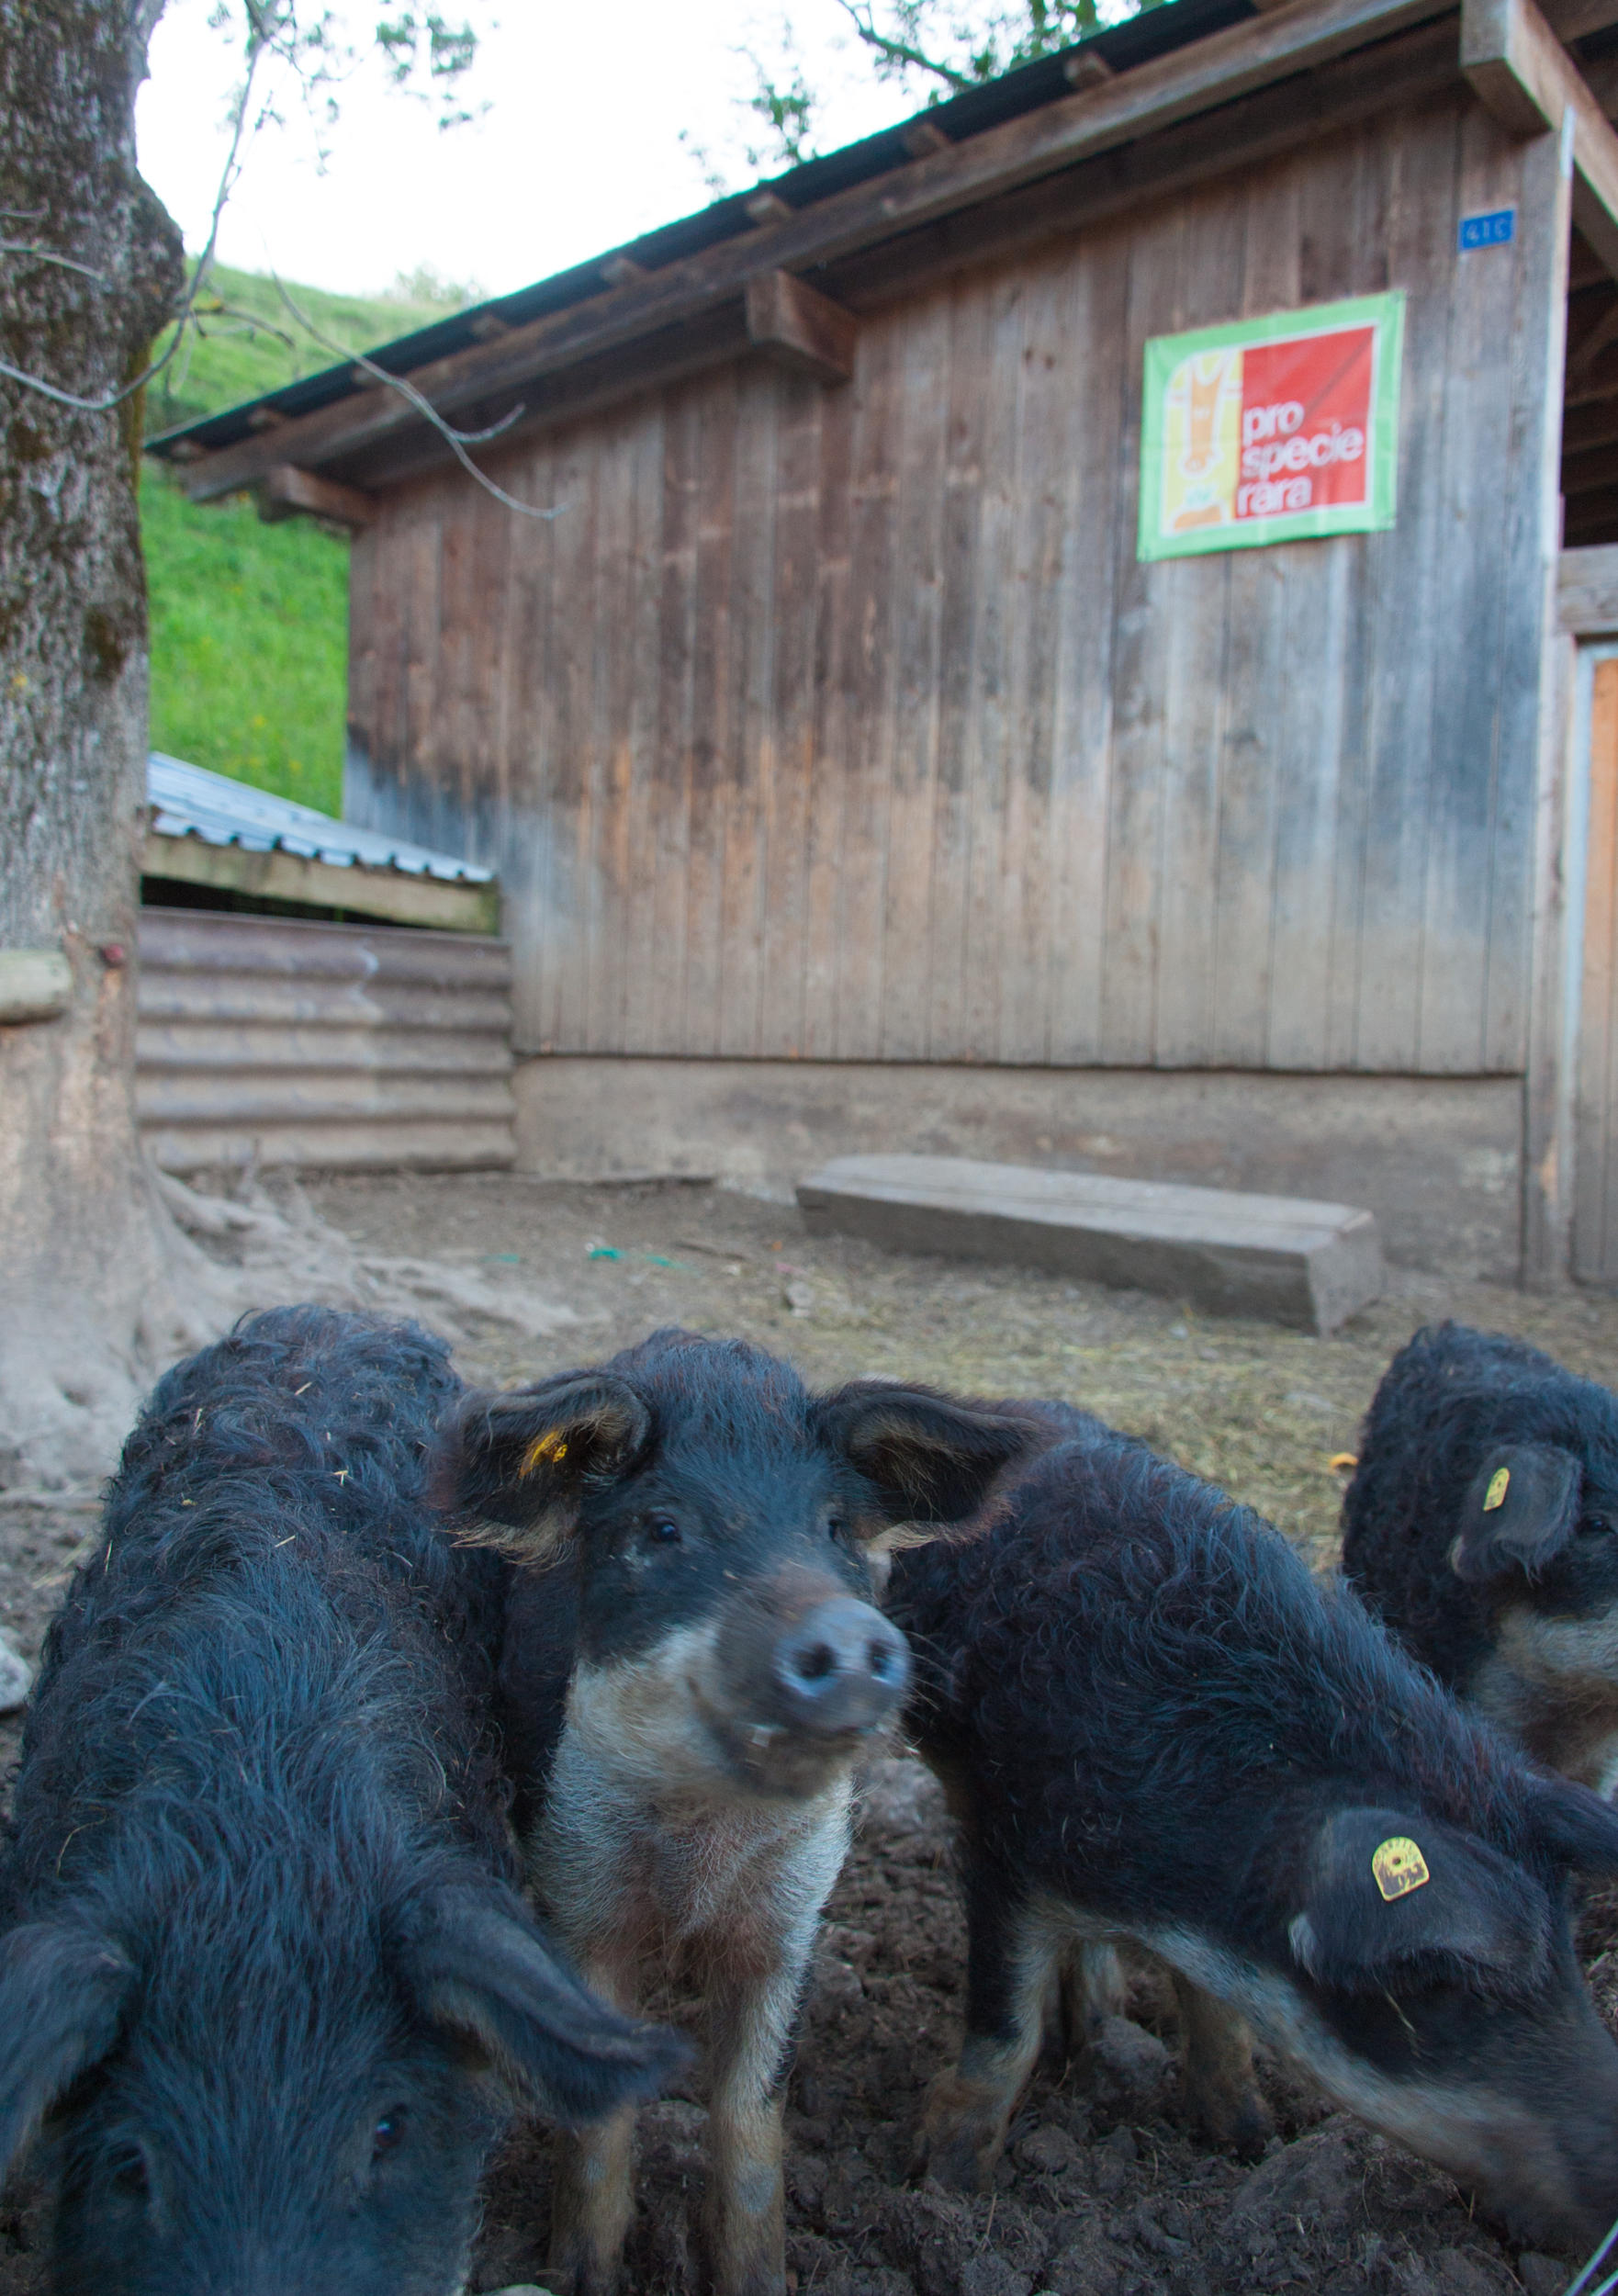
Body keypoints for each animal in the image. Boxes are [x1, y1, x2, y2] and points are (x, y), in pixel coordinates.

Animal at [435, 1332, 1028, 2296]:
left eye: (833, 1527)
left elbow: (753, 2119)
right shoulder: (580, 1894)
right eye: (663, 1528)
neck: (702, 1852)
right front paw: (584, 2275)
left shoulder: (796, 1918)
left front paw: (758, 2276)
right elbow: (601, 2123)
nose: (846, 1634)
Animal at [881, 1424, 1618, 2250]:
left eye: (1570, 1957)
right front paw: (941, 2183)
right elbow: (1006, 2033)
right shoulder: (1005, 1848)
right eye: (1440, 1990)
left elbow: (1221, 2020)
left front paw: (1247, 2141)